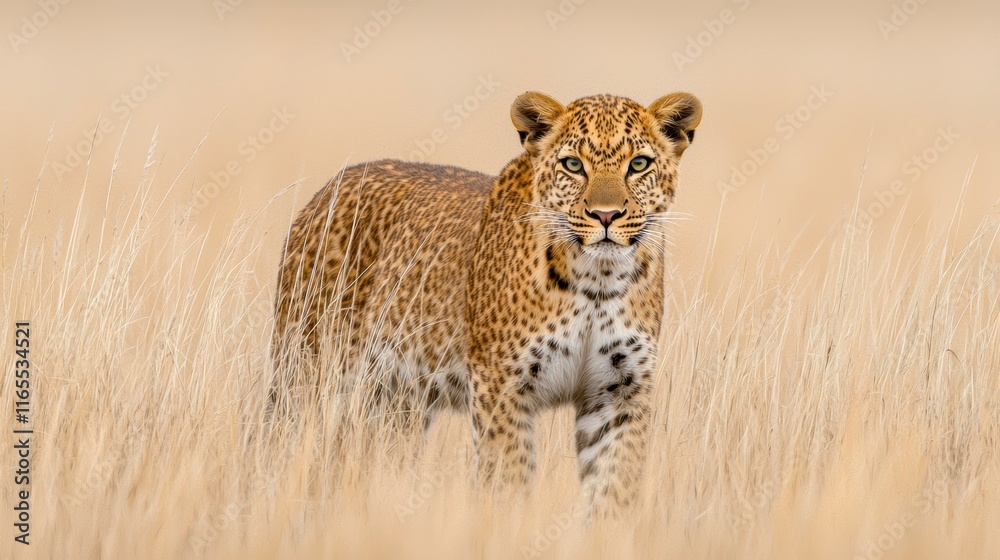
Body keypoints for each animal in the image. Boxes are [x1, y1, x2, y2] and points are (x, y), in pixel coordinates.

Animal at [271, 90, 702, 515]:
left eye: (639, 164)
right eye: (573, 165)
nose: (606, 215)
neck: (598, 281)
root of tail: (326, 191)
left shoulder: (619, 391)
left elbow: (614, 489)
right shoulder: (500, 385)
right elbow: (508, 482)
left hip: (396, 403)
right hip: (309, 377)